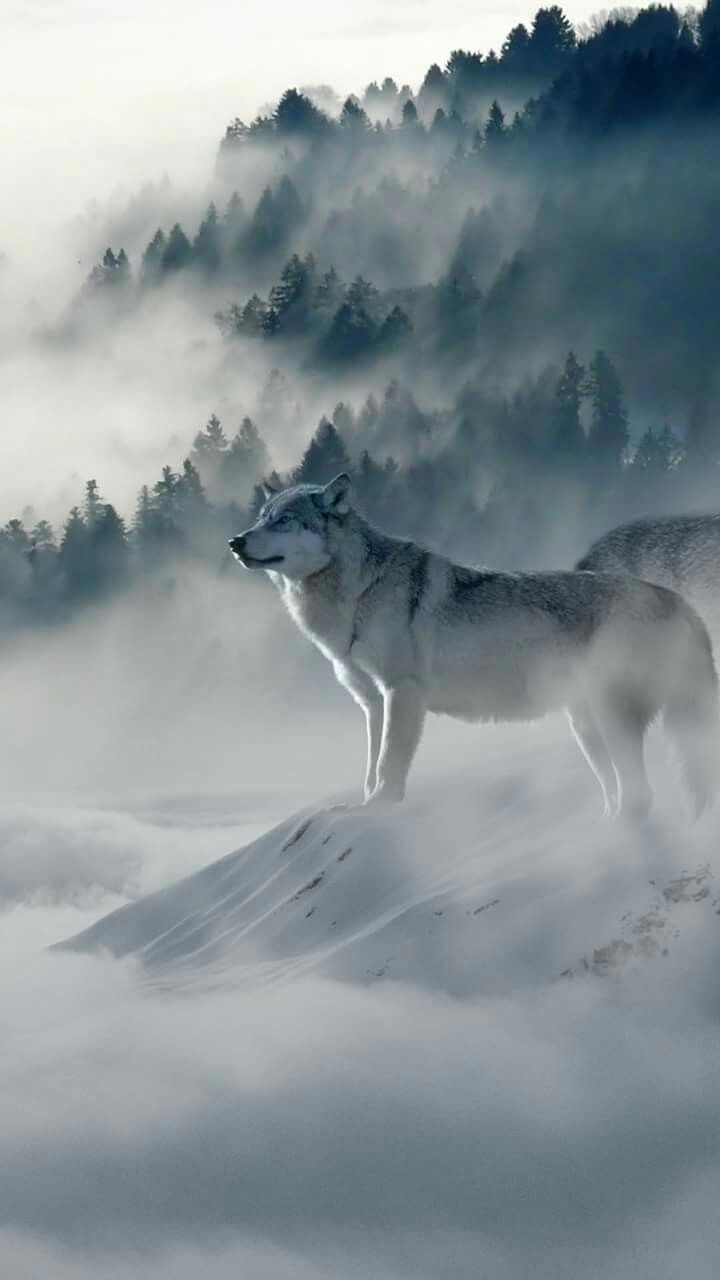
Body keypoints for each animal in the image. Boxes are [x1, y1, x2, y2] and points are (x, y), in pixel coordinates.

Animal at [229, 475, 719, 818]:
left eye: (284, 520)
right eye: (261, 517)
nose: (235, 541)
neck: (358, 593)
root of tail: (679, 603)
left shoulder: (402, 693)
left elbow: (388, 766)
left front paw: (381, 808)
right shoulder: (372, 702)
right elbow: (369, 768)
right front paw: (362, 806)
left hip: (610, 719)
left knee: (641, 796)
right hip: (586, 728)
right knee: (623, 794)